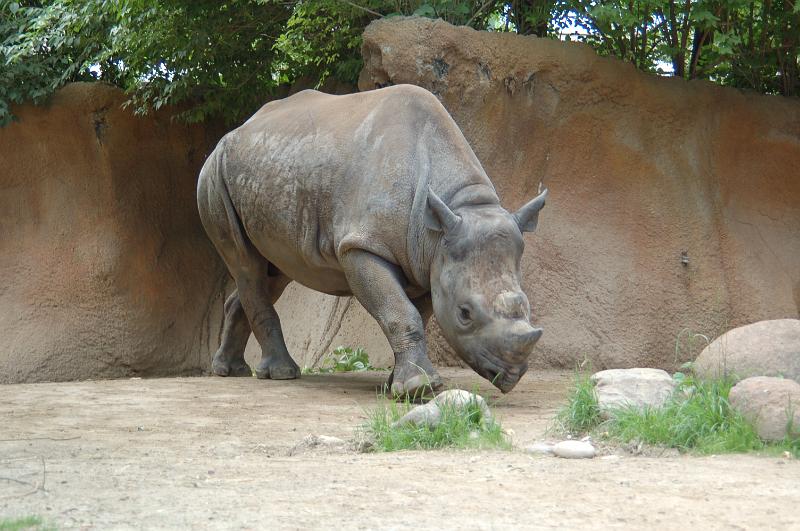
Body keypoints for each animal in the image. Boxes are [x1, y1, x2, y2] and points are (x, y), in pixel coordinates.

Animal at [197, 84, 547, 395]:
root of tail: (234, 132)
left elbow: (416, 314)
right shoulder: (363, 246)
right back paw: (282, 374)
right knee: (246, 265)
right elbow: (400, 312)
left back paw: (229, 370)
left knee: (273, 270)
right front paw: (418, 389)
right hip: (213, 174)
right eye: (464, 313)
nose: (512, 375)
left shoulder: (425, 262)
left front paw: (397, 384)